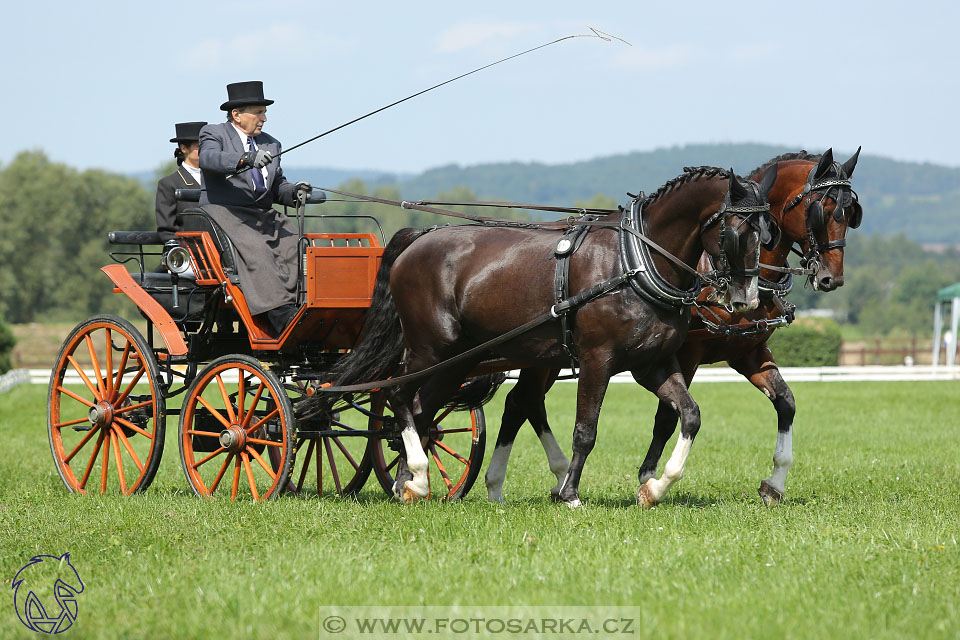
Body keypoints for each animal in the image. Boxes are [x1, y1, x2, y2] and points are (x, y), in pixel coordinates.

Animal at [318, 165, 784, 504]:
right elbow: (586, 429)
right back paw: (415, 475)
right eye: (736, 231)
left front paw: (654, 488)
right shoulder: (597, 359)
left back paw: (412, 484)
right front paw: (570, 494)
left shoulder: (652, 364)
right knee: (398, 395)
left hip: (459, 359)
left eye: (768, 232)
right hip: (430, 348)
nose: (747, 298)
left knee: (421, 409)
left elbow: (688, 414)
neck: (634, 261)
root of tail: (419, 237)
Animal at [484, 149, 868, 504]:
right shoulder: (686, 354)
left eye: (851, 213)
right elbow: (667, 417)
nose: (831, 278)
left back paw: (535, 479)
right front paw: (650, 479)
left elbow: (785, 402)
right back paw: (530, 479)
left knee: (523, 402)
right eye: (823, 208)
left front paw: (774, 483)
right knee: (522, 401)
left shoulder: (748, 351)